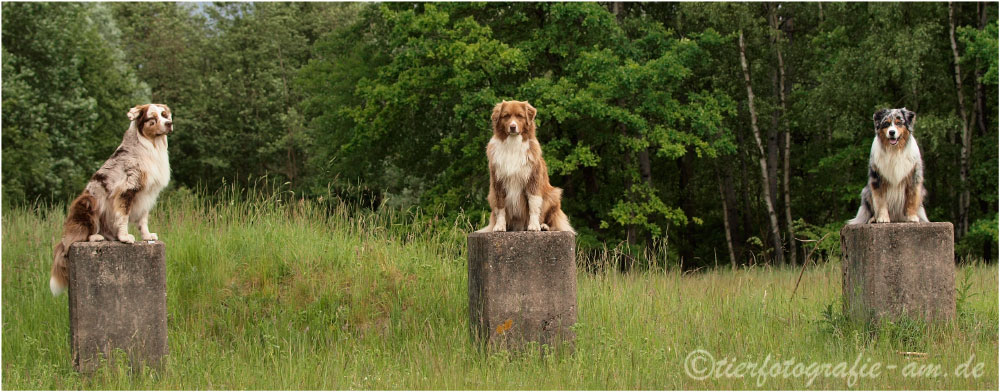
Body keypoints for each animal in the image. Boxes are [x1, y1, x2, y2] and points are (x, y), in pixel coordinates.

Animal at [50, 103, 173, 294]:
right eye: (153, 118)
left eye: (165, 115)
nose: (169, 124)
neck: (151, 144)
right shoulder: (127, 189)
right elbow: (123, 216)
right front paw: (124, 237)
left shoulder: (147, 194)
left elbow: (143, 219)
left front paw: (146, 236)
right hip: (88, 202)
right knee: (78, 236)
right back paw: (95, 237)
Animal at [478, 99, 576, 233]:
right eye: (506, 116)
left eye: (520, 116)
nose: (512, 127)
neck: (513, 145)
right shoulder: (498, 182)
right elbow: (500, 206)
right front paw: (499, 226)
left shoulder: (532, 179)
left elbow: (533, 205)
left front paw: (534, 226)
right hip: (491, 196)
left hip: (553, 195)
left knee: (553, 218)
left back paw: (544, 226)